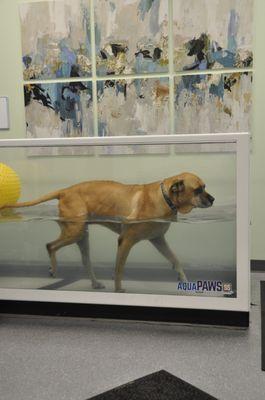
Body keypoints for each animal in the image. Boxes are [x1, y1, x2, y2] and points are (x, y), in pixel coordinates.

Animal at [0, 172, 213, 290]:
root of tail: (64, 191)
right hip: (74, 231)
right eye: (198, 190)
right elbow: (119, 270)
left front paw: (184, 280)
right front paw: (119, 292)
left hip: (82, 236)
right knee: (50, 245)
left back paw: (95, 284)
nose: (213, 199)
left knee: (86, 262)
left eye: (205, 187)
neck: (164, 197)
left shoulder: (158, 240)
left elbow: (176, 261)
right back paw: (53, 269)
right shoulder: (125, 241)